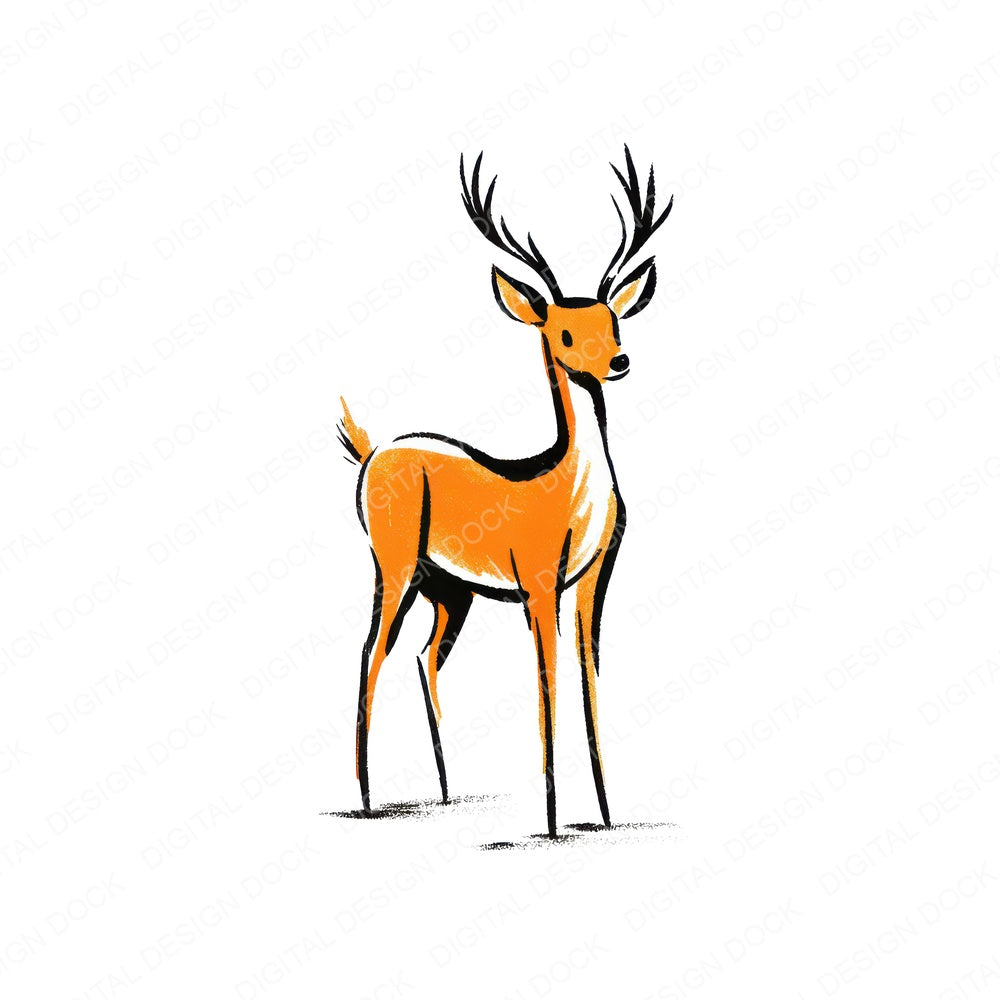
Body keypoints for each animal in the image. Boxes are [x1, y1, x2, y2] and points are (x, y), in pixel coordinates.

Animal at [338, 146, 673, 838]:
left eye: (614, 322)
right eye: (564, 334)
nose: (619, 362)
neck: (569, 490)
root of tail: (372, 450)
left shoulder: (595, 578)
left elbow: (589, 680)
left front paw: (605, 815)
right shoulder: (539, 582)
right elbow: (548, 685)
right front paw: (550, 822)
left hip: (449, 591)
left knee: (423, 658)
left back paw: (445, 792)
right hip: (394, 564)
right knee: (368, 654)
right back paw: (368, 799)